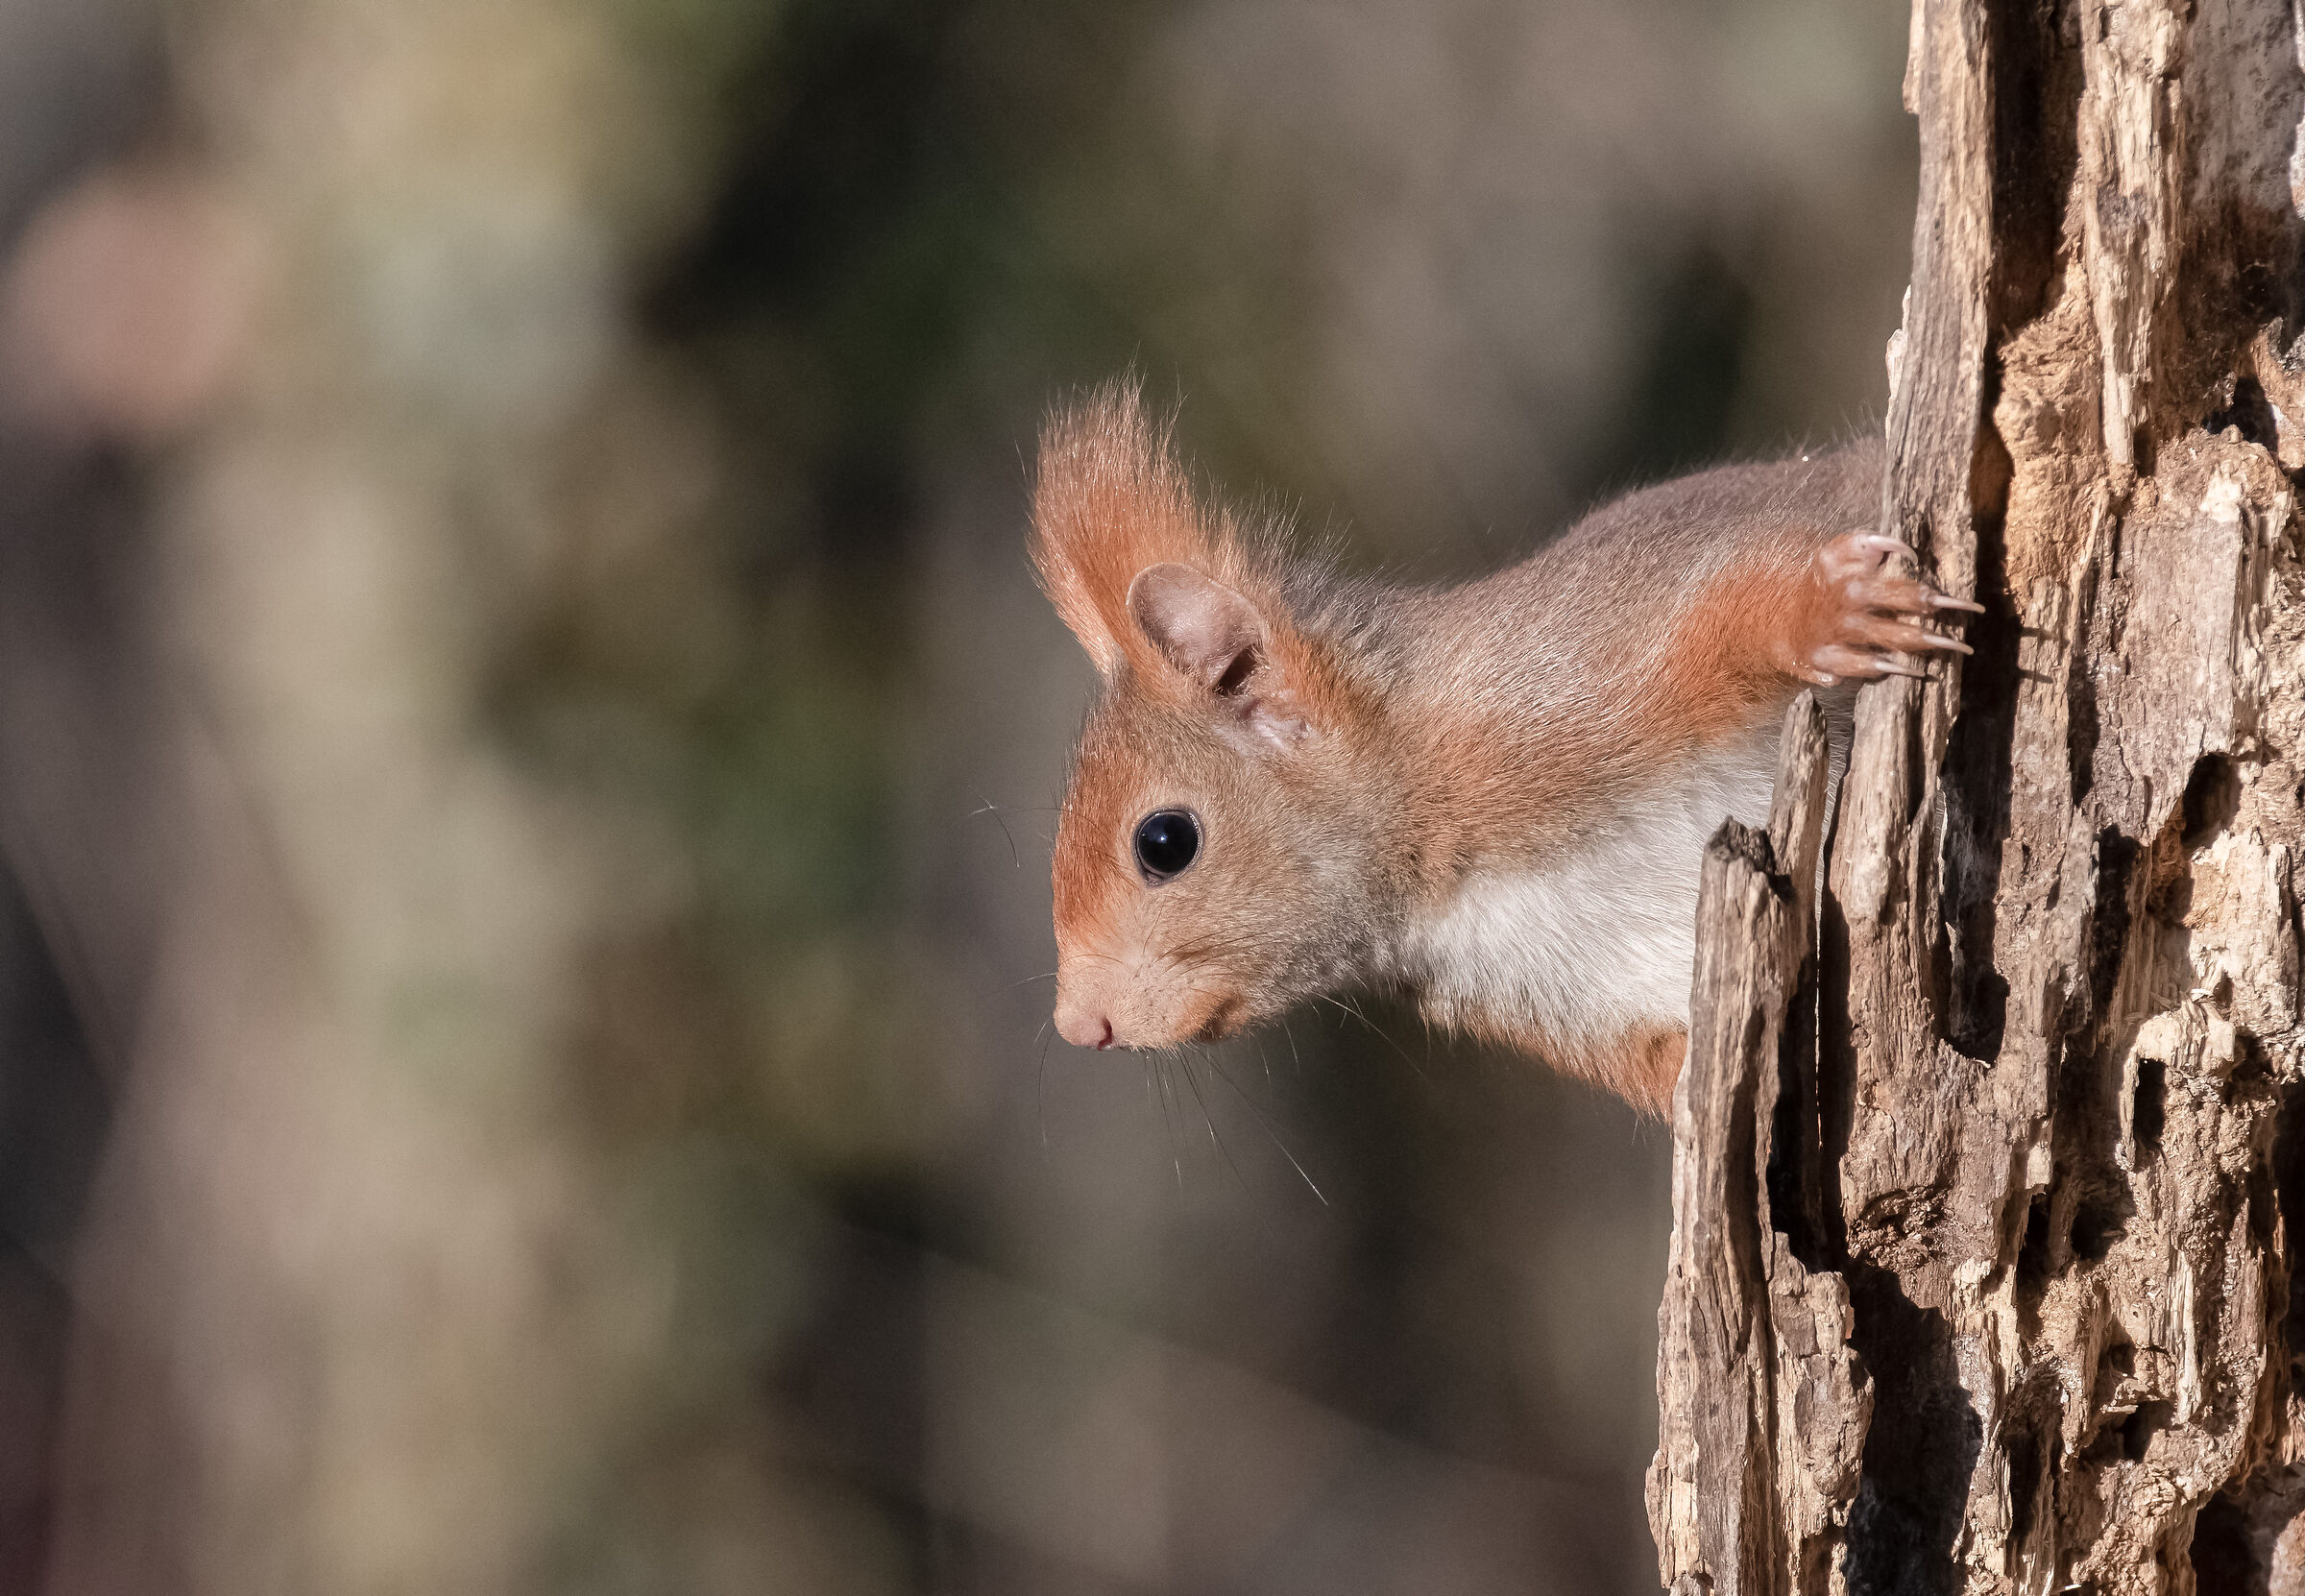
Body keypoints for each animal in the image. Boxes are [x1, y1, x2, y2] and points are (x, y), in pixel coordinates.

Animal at [1031, 383, 1978, 1115]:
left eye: (1165, 842)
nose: (1080, 1027)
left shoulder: (1583, 665)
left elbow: (1734, 607)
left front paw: (1833, 611)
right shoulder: (1576, 1007)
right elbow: (1667, 1071)